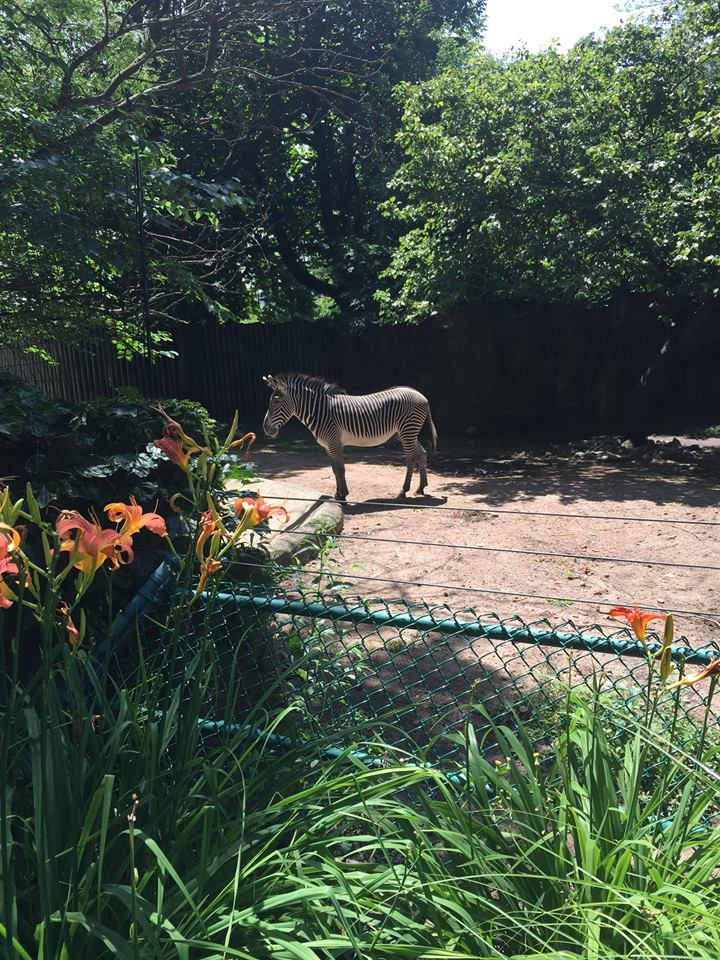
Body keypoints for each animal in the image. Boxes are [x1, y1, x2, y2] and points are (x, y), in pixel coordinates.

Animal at [262, 373, 438, 501]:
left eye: (275, 402)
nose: (266, 429)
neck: (320, 411)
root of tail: (421, 395)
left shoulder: (334, 442)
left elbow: (340, 468)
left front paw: (343, 495)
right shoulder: (328, 445)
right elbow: (334, 469)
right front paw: (338, 494)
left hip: (407, 430)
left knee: (410, 459)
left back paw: (403, 491)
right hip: (406, 433)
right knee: (422, 453)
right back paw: (421, 488)